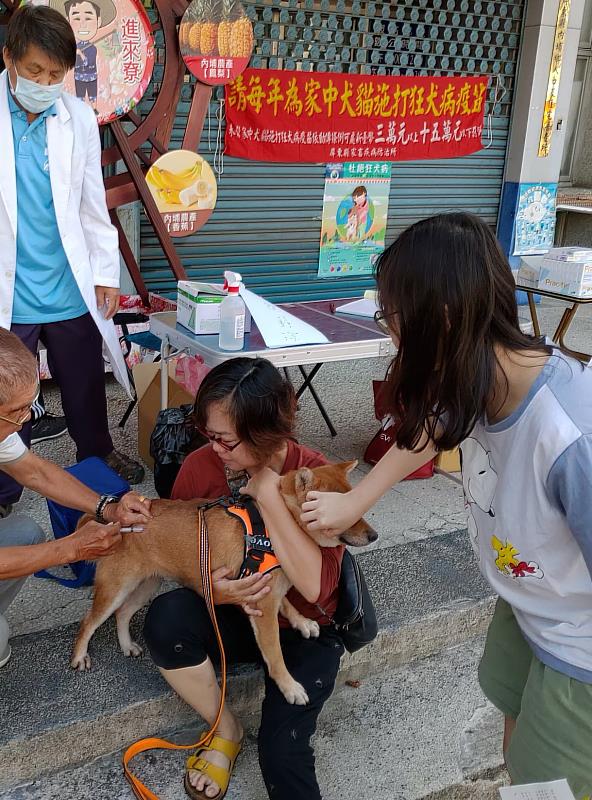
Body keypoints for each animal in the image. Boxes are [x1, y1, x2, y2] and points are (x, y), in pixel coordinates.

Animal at [69, 460, 374, 704]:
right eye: (340, 511)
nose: (374, 536)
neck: (274, 525)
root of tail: (116, 520)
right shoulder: (263, 606)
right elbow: (275, 654)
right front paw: (289, 687)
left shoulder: (268, 590)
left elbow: (287, 603)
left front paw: (302, 621)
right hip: (115, 589)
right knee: (89, 622)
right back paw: (79, 656)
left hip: (145, 586)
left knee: (122, 614)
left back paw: (126, 645)